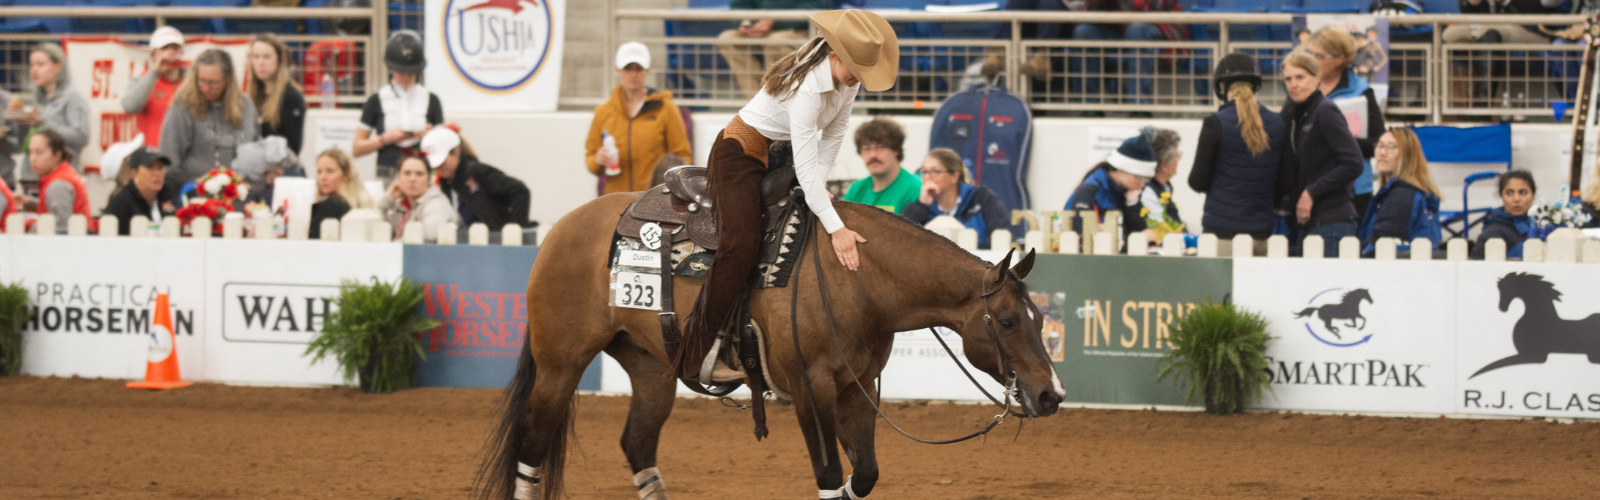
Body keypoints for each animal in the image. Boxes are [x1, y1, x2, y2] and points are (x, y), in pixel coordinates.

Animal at [480, 194, 1068, 500]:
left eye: (1041, 318)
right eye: (1008, 321)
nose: (1052, 396)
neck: (855, 279)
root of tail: (561, 229)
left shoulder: (856, 390)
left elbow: (865, 474)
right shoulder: (811, 389)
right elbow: (830, 476)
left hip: (651, 368)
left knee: (637, 445)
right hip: (560, 364)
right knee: (533, 444)